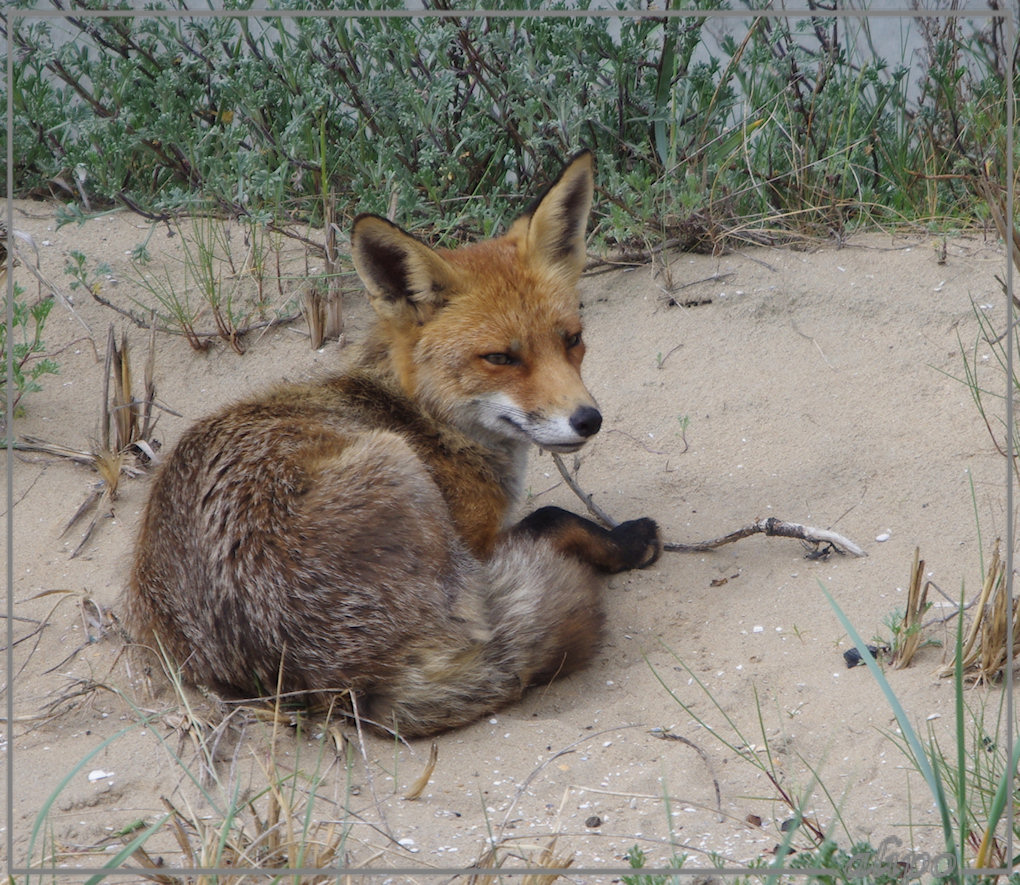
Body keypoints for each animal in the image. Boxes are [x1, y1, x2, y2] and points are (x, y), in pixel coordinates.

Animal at [125, 153, 660, 738]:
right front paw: (626, 541)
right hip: (398, 471)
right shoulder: (476, 544)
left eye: (572, 340)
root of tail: (354, 686)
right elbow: (555, 515)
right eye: (500, 358)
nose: (588, 420)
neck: (421, 415)